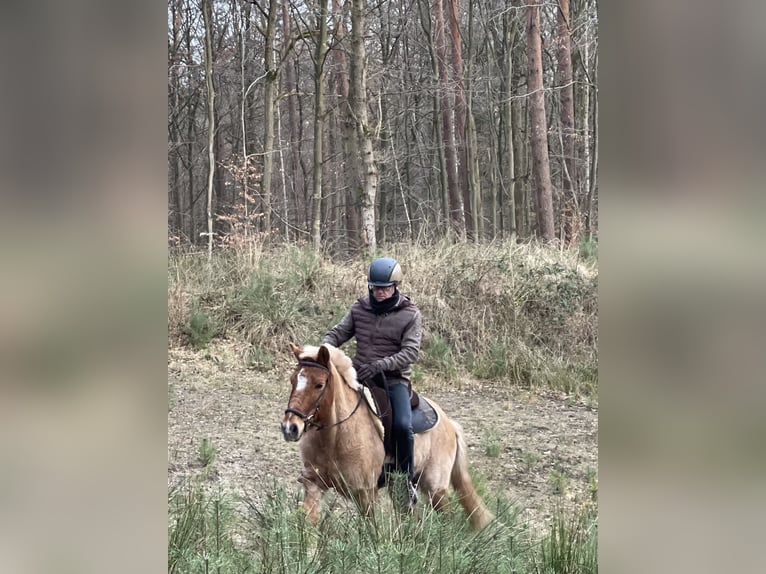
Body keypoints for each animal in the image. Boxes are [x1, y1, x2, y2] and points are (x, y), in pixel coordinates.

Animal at [280, 343, 493, 530]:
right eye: (292, 380)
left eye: (319, 384)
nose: (290, 427)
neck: (335, 437)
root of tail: (450, 424)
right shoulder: (313, 484)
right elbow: (309, 526)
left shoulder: (365, 493)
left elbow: (371, 532)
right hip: (401, 489)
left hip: (435, 489)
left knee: (447, 519)